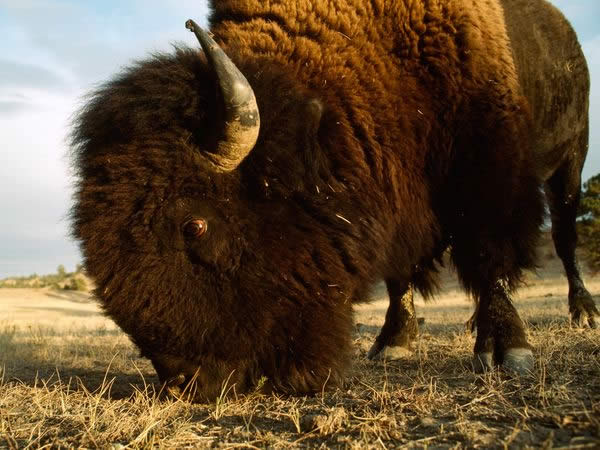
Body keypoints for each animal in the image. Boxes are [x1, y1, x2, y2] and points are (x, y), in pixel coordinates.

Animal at [70, 0, 596, 400]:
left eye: (194, 225)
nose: (184, 381)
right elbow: (400, 272)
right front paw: (394, 341)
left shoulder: (487, 171)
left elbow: (489, 256)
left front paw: (508, 350)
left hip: (571, 162)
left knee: (565, 237)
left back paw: (583, 312)